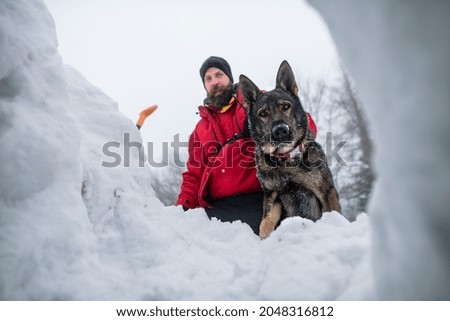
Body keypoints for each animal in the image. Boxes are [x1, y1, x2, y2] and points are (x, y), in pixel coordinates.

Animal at [239, 61, 342, 239]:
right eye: (263, 113)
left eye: (285, 106)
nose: (280, 130)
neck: (285, 159)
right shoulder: (272, 197)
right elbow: (265, 225)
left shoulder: (326, 191)